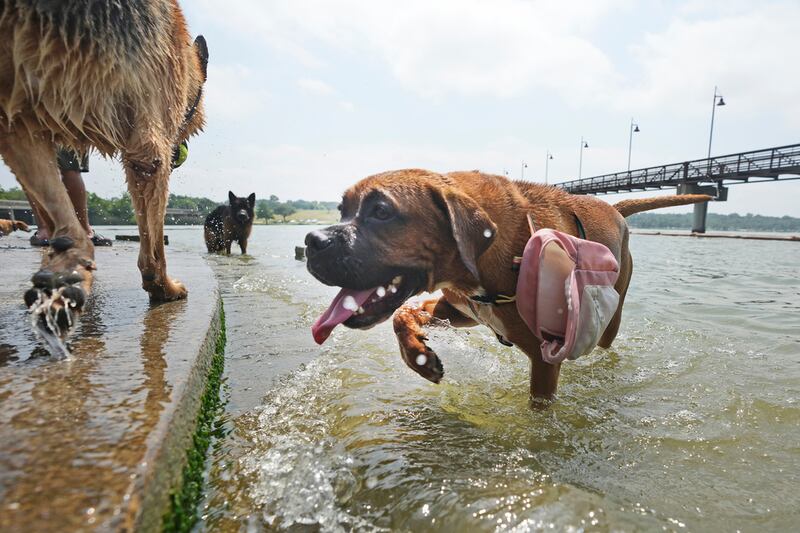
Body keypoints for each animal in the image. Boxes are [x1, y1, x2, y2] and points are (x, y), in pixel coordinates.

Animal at [0, 1, 209, 340]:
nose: (180, 152)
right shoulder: (148, 152)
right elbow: (153, 242)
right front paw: (163, 287)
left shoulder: (19, 122)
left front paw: (66, 269)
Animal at [306, 168, 712, 402]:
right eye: (343, 210)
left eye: (382, 211)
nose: (311, 241)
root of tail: (613, 207)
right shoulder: (459, 309)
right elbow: (401, 315)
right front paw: (419, 356)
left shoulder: (545, 361)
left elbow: (539, 407)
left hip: (613, 318)